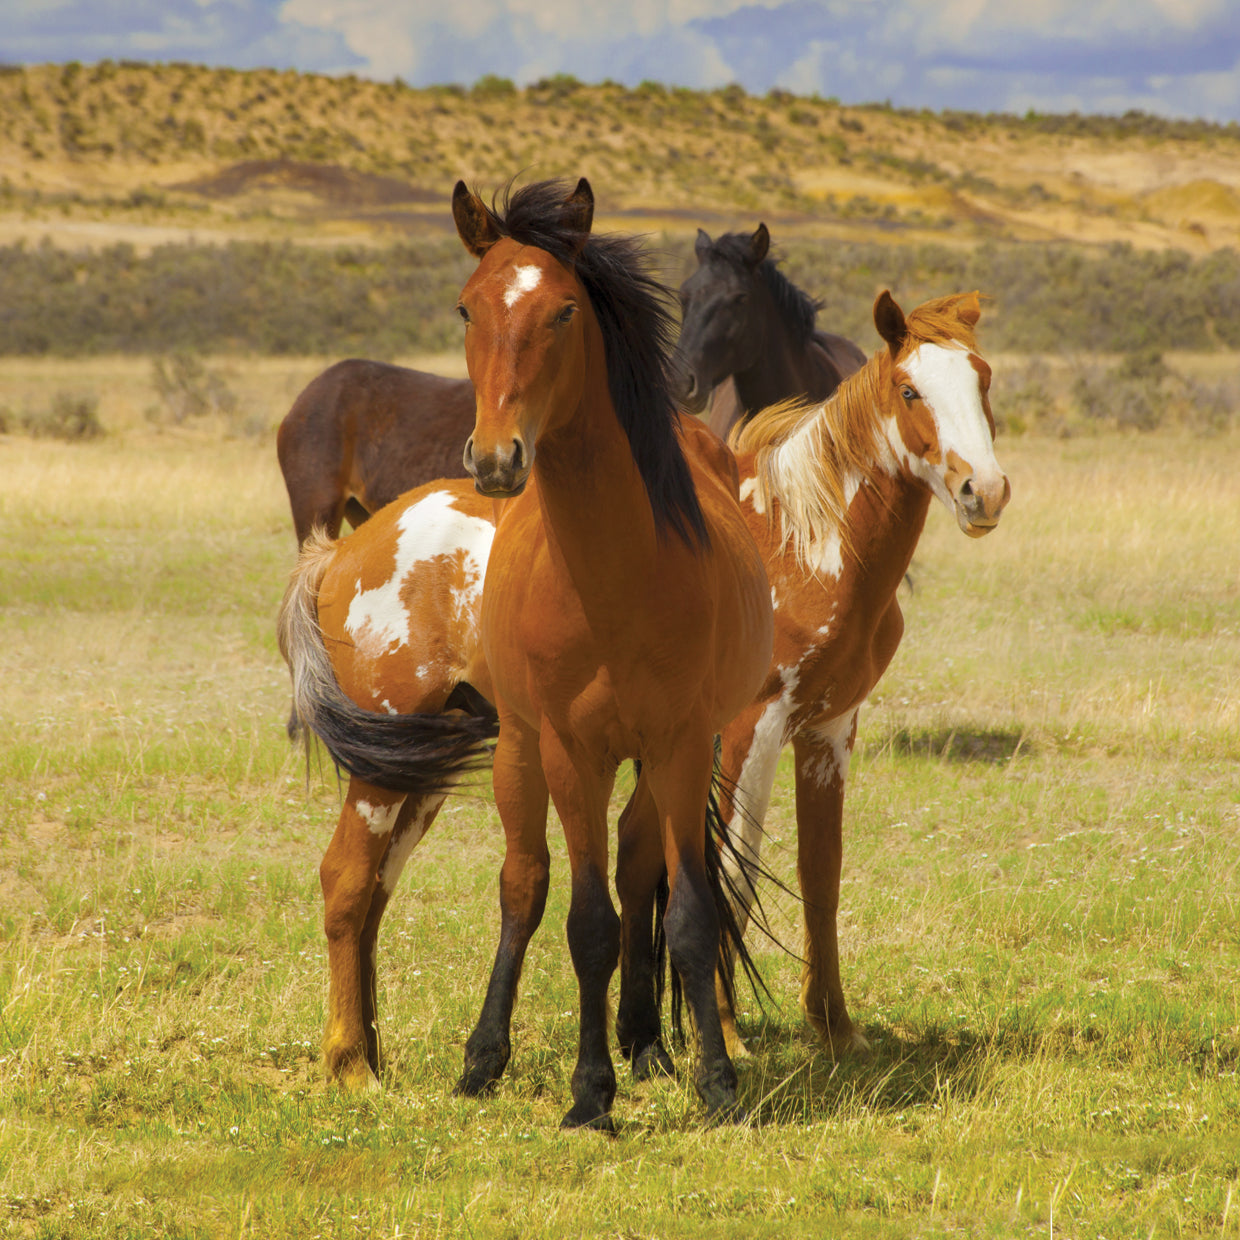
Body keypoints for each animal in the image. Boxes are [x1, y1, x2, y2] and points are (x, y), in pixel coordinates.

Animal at [617, 289, 1011, 1068]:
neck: (797, 545)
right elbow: (731, 874)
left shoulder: (829, 727)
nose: (982, 492)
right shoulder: (749, 730)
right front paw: (727, 1034)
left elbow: (820, 871)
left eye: (981, 380)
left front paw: (833, 1024)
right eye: (909, 390)